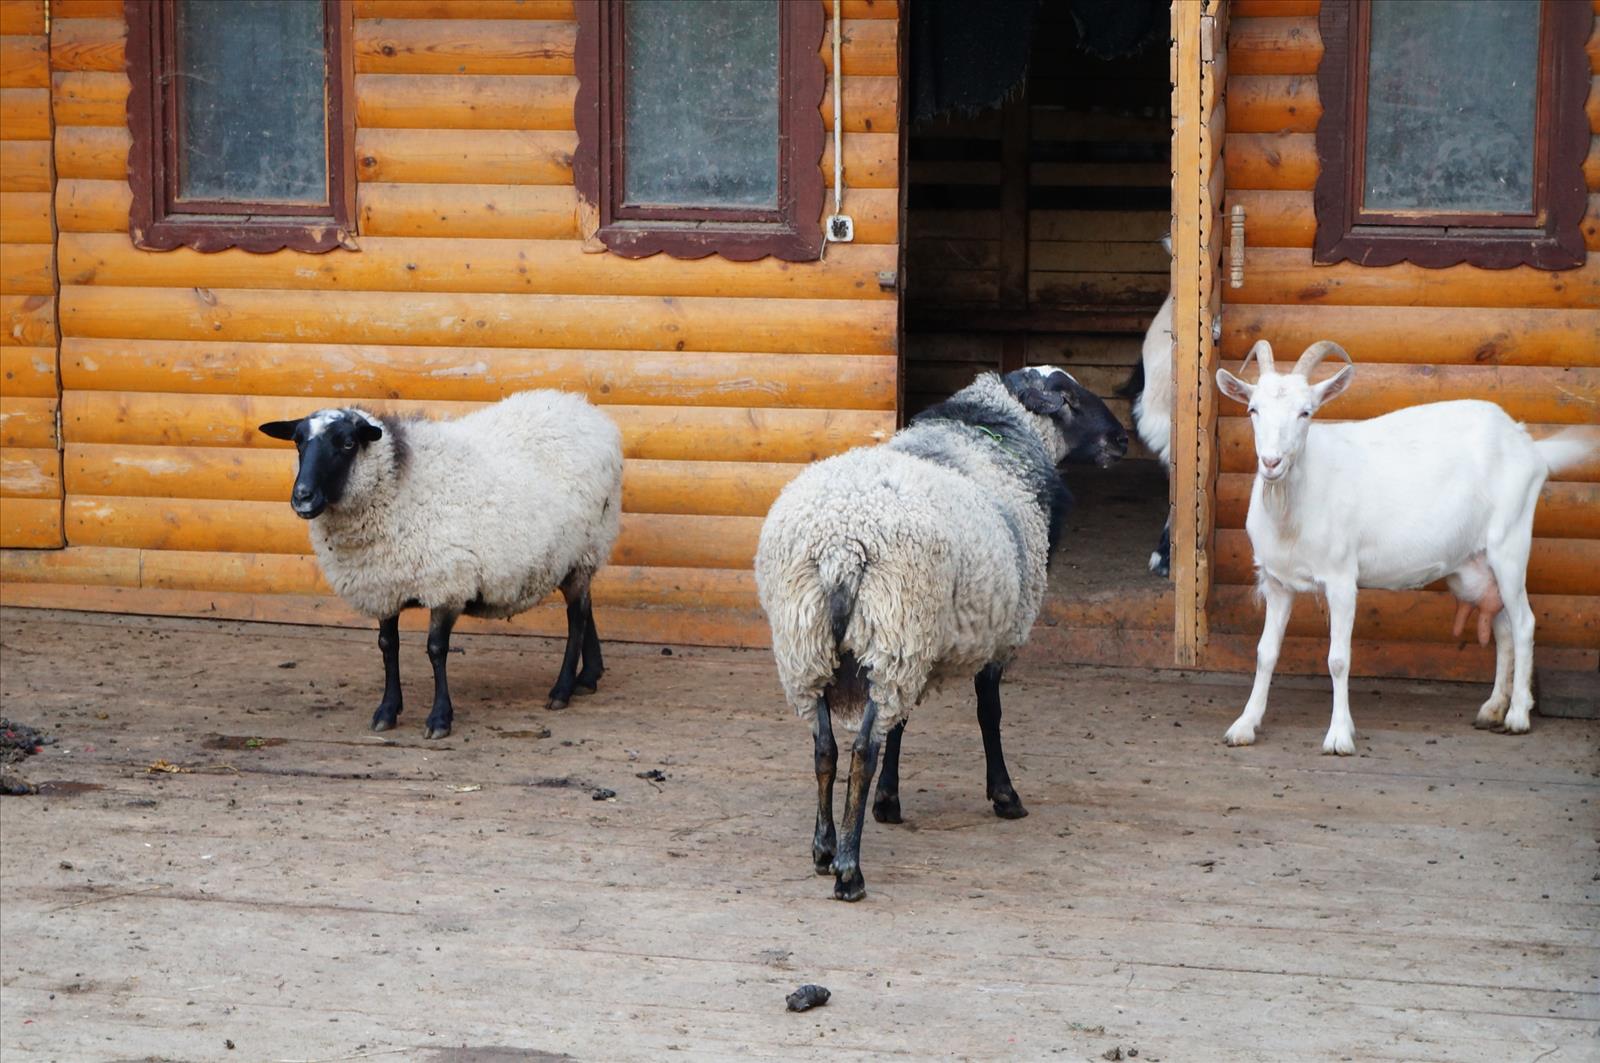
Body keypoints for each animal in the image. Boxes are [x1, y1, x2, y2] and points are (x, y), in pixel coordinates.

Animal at [259, 390, 620, 739]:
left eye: (347, 443)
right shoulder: (383, 585)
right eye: (298, 441)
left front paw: (439, 718)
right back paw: (588, 676)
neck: (398, 485)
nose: (302, 497)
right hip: (571, 556)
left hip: (586, 547)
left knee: (577, 617)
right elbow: (388, 646)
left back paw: (562, 689)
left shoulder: (447, 584)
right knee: (585, 608)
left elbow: (436, 650)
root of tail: (588, 411)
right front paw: (387, 710)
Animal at [755, 369, 1132, 902]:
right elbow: (989, 714)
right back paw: (850, 870)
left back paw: (824, 849)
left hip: (814, 646)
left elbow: (901, 724)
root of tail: (841, 545)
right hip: (887, 627)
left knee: (825, 747)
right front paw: (1005, 795)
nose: (1122, 440)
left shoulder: (918, 643)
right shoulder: (996, 632)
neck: (993, 432)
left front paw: (889, 801)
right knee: (861, 751)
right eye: (1070, 399)